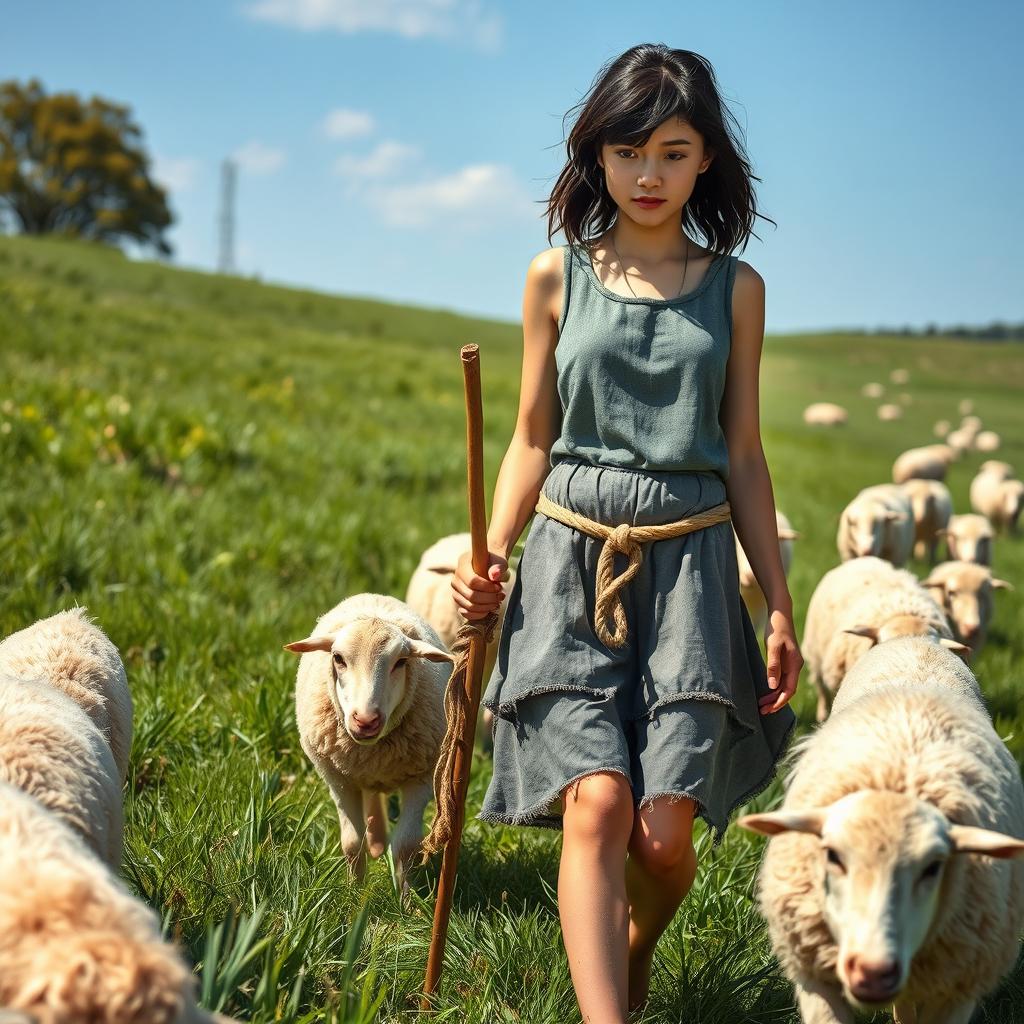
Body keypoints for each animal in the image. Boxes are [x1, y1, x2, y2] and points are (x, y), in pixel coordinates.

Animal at [284, 593, 452, 897]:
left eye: (401, 661)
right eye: (338, 658)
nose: (365, 720)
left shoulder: (421, 779)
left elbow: (406, 846)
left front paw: (405, 900)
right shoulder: (338, 780)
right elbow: (352, 843)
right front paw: (354, 893)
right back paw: (375, 841)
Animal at [741, 638, 1019, 1024]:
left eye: (934, 867)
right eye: (832, 856)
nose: (872, 973)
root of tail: (917, 639)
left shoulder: (956, 988)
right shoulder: (815, 978)